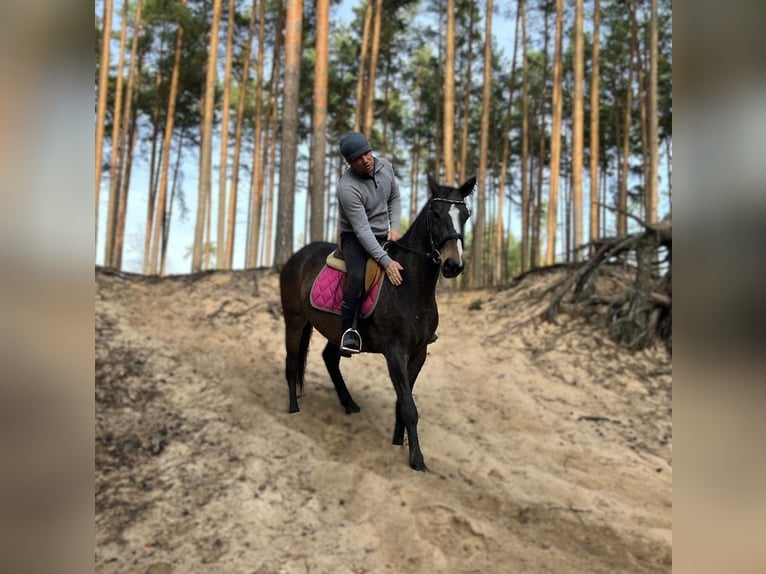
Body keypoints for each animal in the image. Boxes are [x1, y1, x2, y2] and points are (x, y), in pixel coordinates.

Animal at [278, 174, 475, 471]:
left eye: (465, 214)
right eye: (436, 213)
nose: (453, 265)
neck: (411, 286)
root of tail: (296, 257)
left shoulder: (419, 353)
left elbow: (403, 401)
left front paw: (398, 442)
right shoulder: (395, 351)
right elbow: (409, 406)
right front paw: (417, 460)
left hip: (337, 330)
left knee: (329, 358)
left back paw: (349, 404)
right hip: (295, 319)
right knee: (292, 363)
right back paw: (293, 409)